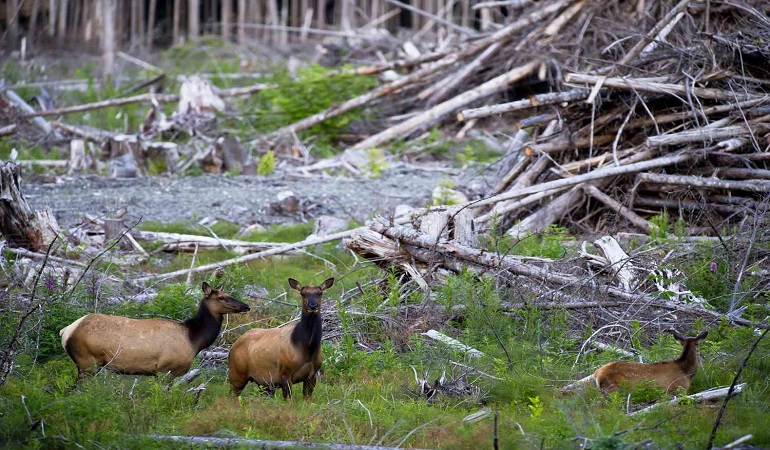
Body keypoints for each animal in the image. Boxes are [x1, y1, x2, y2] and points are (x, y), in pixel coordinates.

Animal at [59, 284, 248, 382]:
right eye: (221, 297)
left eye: (228, 293)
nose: (246, 306)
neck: (194, 340)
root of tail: (66, 331)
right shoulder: (167, 369)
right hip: (86, 362)